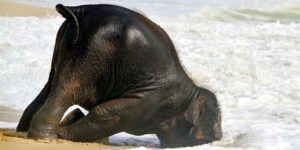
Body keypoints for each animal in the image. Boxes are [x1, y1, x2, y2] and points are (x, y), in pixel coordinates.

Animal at [17, 3, 223, 148]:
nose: (219, 137)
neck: (192, 92)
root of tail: (80, 11)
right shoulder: (151, 102)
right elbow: (108, 114)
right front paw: (65, 129)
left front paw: (75, 122)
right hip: (92, 53)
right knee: (68, 90)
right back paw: (46, 138)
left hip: (66, 45)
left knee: (51, 85)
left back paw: (24, 131)